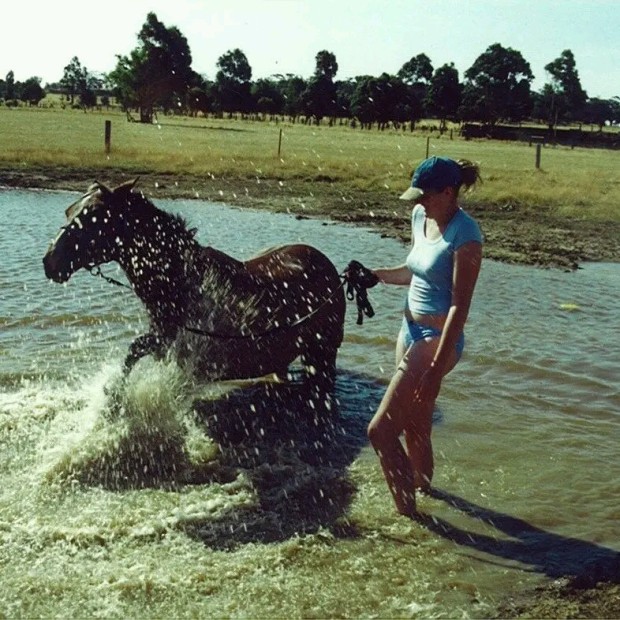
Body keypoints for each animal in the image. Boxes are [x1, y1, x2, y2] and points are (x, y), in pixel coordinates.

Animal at [42, 179, 346, 393]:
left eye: (94, 216)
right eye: (69, 211)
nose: (50, 261)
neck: (179, 280)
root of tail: (331, 269)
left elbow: (133, 352)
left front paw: (113, 397)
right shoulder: (164, 346)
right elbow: (134, 351)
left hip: (321, 356)